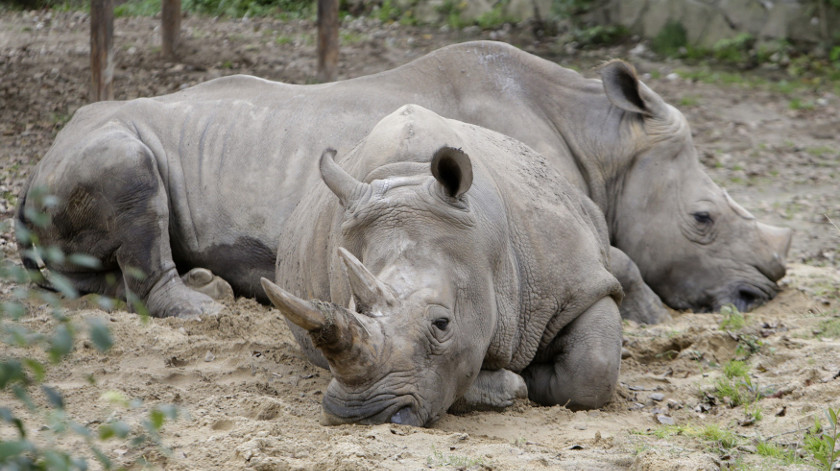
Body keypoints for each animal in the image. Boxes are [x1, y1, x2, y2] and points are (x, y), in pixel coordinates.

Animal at [17, 40, 790, 324]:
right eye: (703, 219)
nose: (763, 290)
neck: (606, 143)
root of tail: (31, 173)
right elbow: (620, 257)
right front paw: (652, 316)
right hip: (97, 147)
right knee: (132, 175)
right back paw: (207, 307)